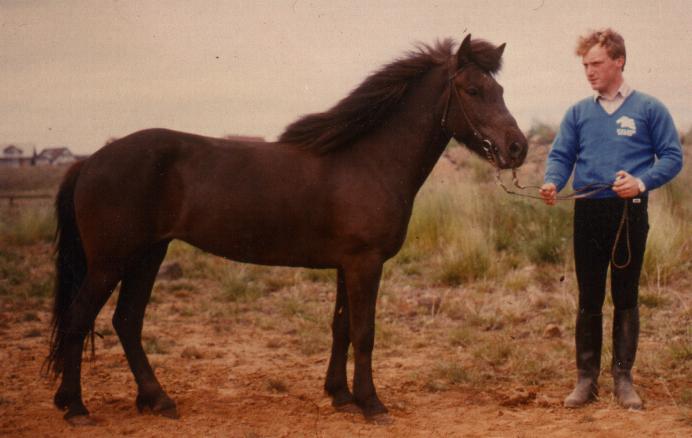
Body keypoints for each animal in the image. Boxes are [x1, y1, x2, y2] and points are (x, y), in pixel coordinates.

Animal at [46, 36, 528, 422]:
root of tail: (90, 161)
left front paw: (340, 396)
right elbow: (364, 332)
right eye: (473, 89)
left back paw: (156, 400)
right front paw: (371, 403)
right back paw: (76, 406)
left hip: (148, 256)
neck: (369, 160)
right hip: (110, 263)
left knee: (127, 321)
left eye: (502, 89)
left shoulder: (347, 265)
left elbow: (340, 327)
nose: (517, 148)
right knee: (80, 319)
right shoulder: (365, 264)